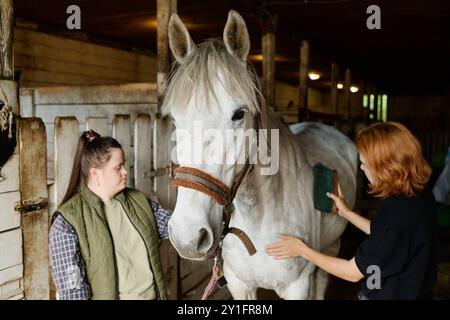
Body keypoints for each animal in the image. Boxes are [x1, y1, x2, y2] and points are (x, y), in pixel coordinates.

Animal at [163, 10, 356, 300]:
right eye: (175, 118)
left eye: (238, 114)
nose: (188, 237)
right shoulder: (239, 284)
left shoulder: (297, 286)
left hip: (331, 246)